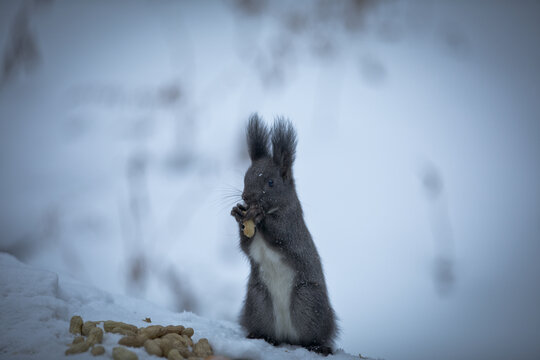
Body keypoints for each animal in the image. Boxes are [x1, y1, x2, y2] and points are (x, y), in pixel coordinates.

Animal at [231, 114, 338, 354]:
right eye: (245, 177)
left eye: (271, 182)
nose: (246, 197)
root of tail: (287, 336)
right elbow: (246, 246)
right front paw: (238, 214)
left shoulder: (291, 227)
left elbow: (279, 235)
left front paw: (256, 214)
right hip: (258, 301)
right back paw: (260, 336)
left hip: (307, 300)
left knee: (314, 335)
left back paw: (318, 346)